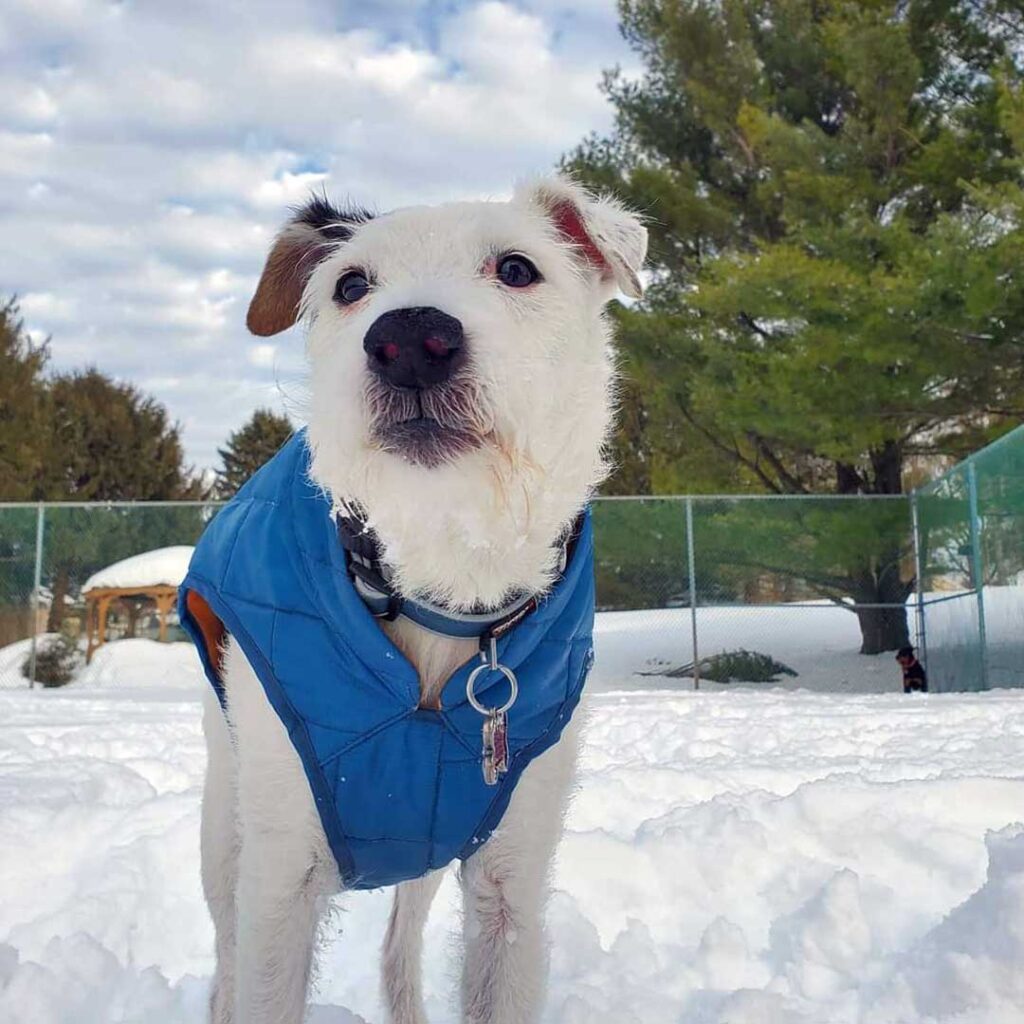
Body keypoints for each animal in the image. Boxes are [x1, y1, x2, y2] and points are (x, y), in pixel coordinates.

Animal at [188, 178, 643, 1024]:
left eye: (517, 268)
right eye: (350, 286)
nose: (408, 338)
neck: (442, 577)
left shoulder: (509, 879)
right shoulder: (278, 880)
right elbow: (259, 978)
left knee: (398, 947)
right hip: (226, 824)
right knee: (226, 971)